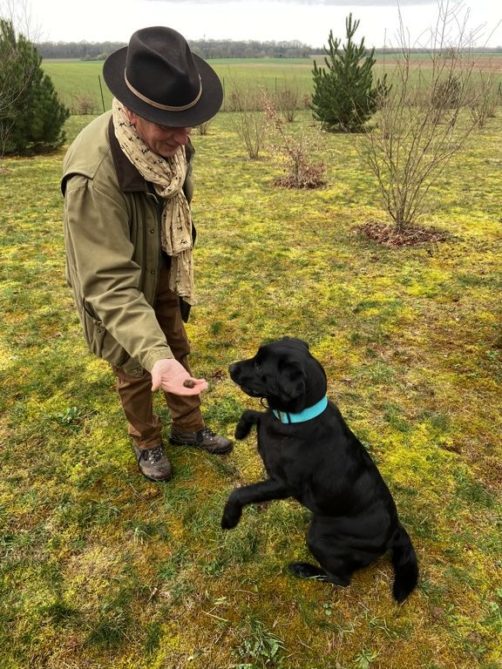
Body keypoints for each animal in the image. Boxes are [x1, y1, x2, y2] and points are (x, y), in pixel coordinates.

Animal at [222, 337, 419, 602]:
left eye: (260, 365)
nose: (231, 368)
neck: (299, 418)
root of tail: (395, 531)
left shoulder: (283, 484)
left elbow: (240, 493)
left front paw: (229, 518)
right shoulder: (269, 422)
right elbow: (254, 413)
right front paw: (240, 430)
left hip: (319, 537)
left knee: (341, 579)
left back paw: (304, 569)